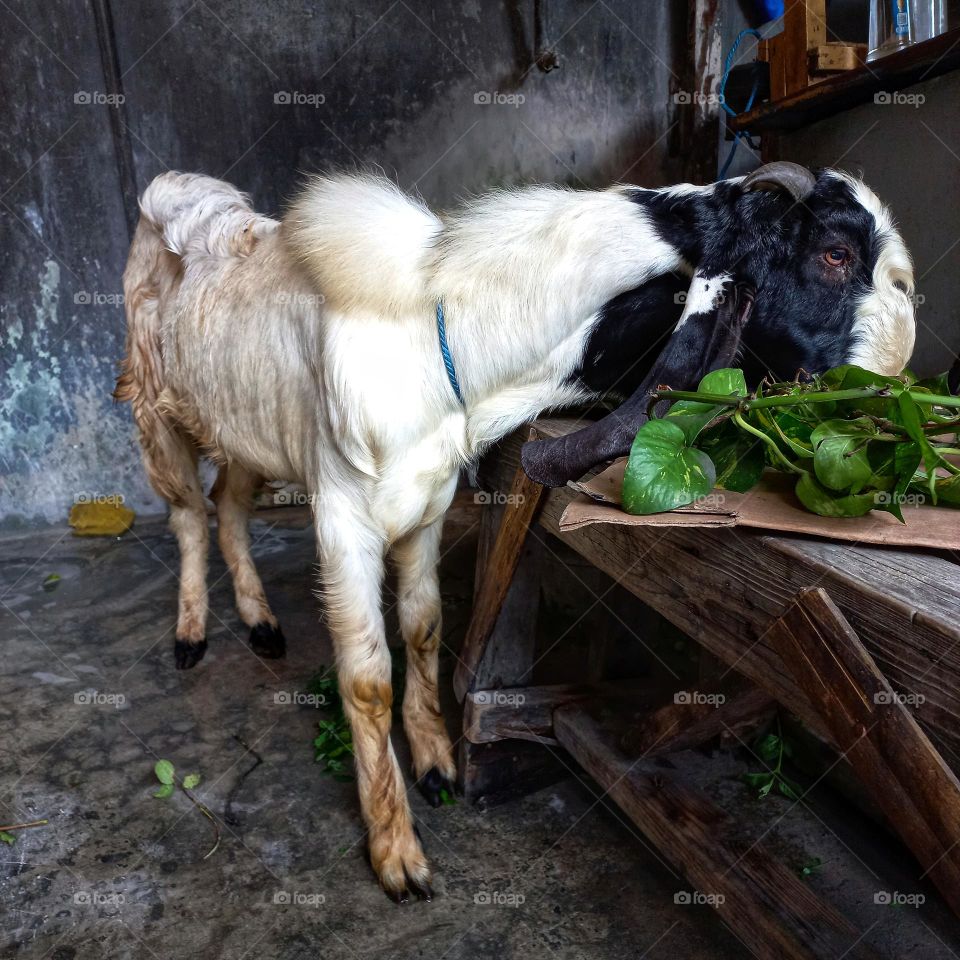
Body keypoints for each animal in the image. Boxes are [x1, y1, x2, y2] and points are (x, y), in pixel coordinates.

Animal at [116, 163, 914, 901]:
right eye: (835, 253)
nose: (888, 388)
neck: (444, 332)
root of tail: (176, 192)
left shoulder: (428, 504)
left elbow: (424, 628)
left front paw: (437, 761)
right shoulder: (343, 519)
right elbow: (369, 681)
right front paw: (396, 851)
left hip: (241, 428)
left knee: (228, 506)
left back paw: (260, 623)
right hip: (156, 414)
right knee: (188, 513)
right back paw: (191, 634)